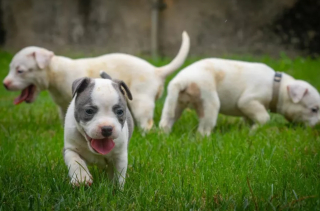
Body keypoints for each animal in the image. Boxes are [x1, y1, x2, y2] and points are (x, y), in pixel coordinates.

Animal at [2, 31, 190, 130]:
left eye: (20, 71)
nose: (5, 84)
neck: (56, 71)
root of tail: (156, 70)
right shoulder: (63, 107)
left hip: (141, 102)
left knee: (147, 123)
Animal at [159, 58, 320, 136]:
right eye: (314, 109)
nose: (318, 126)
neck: (277, 86)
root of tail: (183, 80)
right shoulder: (248, 101)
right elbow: (264, 118)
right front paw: (254, 130)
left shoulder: (249, 110)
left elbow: (251, 119)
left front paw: (250, 130)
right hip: (209, 102)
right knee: (203, 129)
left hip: (175, 103)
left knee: (166, 121)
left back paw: (163, 134)